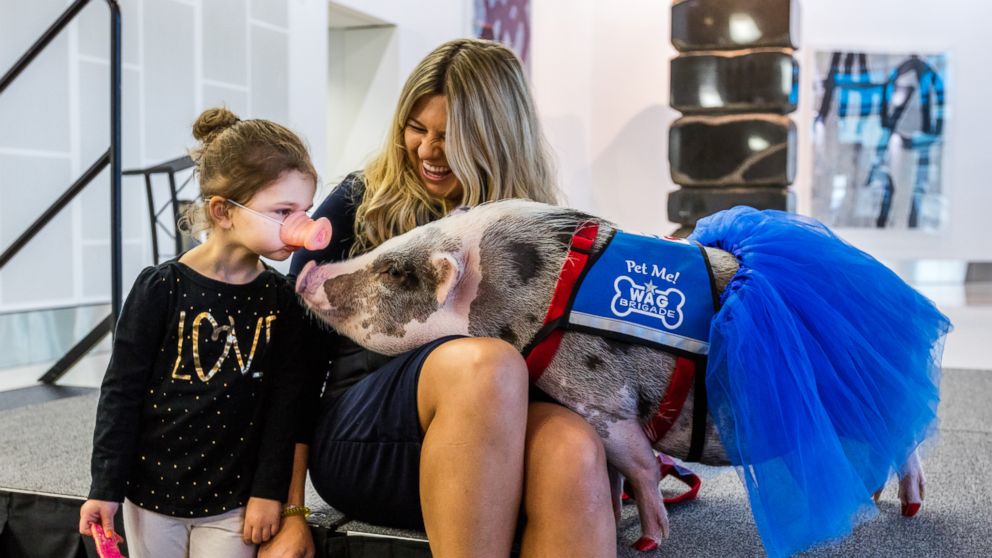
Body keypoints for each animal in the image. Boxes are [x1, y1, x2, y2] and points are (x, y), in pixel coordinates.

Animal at [294, 199, 928, 552]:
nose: (309, 273)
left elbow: (641, 464)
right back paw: (875, 498)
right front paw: (623, 513)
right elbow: (620, 470)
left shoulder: (601, 397)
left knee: (910, 440)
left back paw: (909, 508)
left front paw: (648, 540)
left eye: (397, 272)